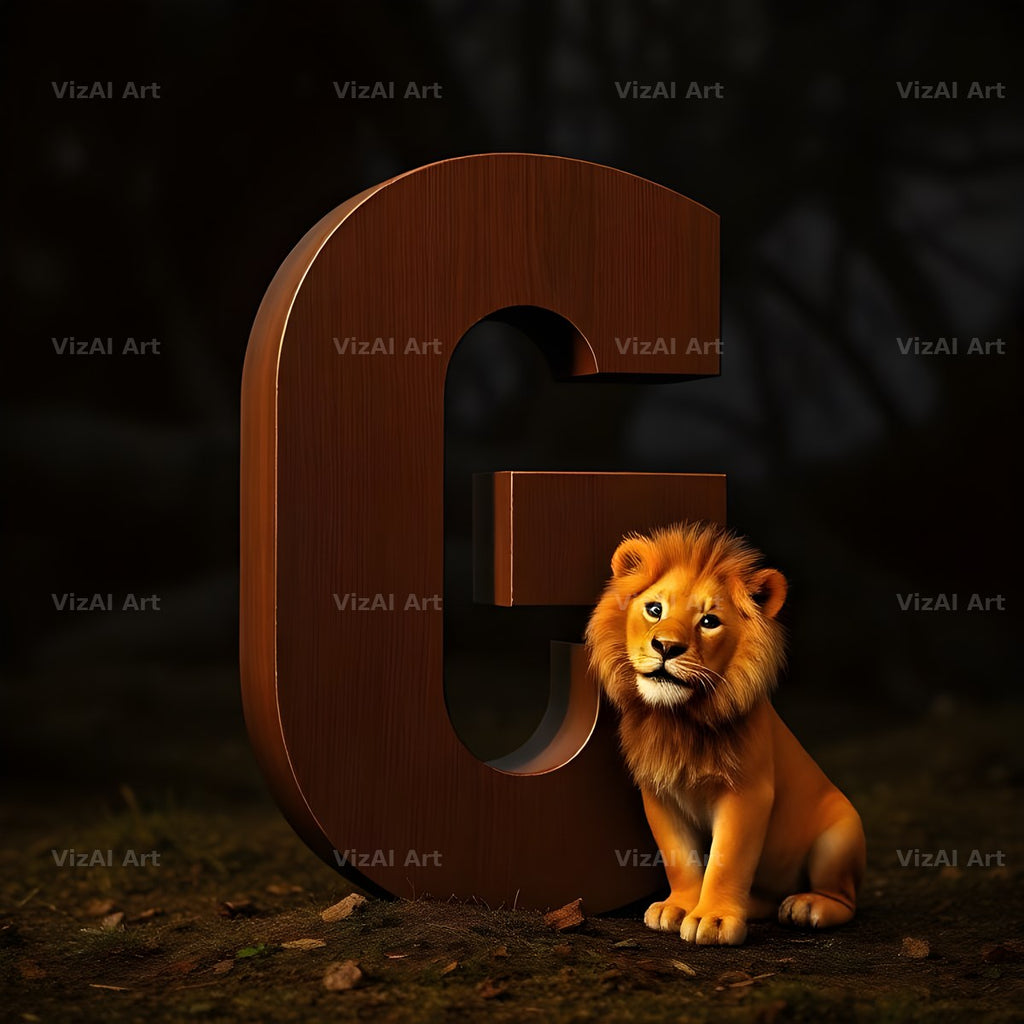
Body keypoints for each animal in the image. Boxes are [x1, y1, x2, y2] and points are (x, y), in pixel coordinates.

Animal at [585, 521, 865, 946]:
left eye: (709, 621)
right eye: (655, 609)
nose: (666, 646)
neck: (679, 720)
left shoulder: (747, 793)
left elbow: (726, 860)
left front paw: (713, 919)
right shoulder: (659, 793)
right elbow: (679, 857)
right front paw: (679, 907)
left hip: (840, 838)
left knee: (844, 899)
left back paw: (807, 906)